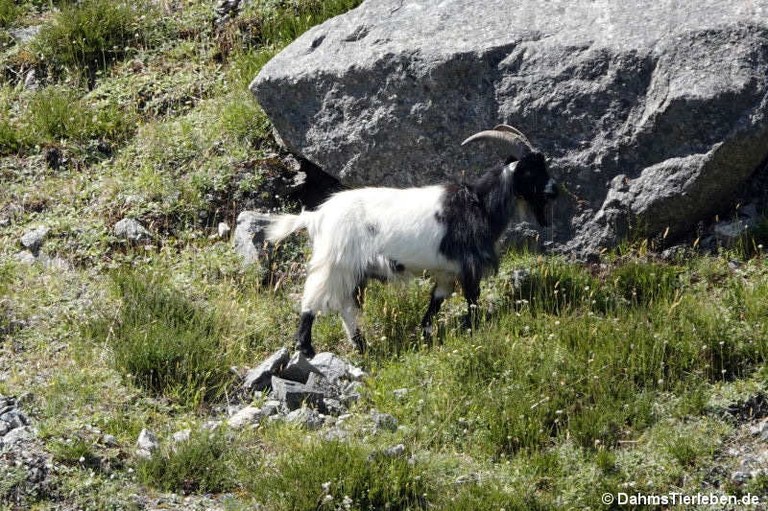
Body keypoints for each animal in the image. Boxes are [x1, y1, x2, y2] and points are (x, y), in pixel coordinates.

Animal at [268, 126, 556, 360]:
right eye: (530, 170)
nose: (555, 190)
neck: (479, 204)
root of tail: (317, 216)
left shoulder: (446, 272)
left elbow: (436, 302)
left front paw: (425, 334)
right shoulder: (470, 264)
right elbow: (473, 299)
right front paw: (472, 328)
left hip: (353, 270)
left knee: (347, 306)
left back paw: (362, 346)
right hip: (336, 262)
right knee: (314, 298)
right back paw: (307, 349)